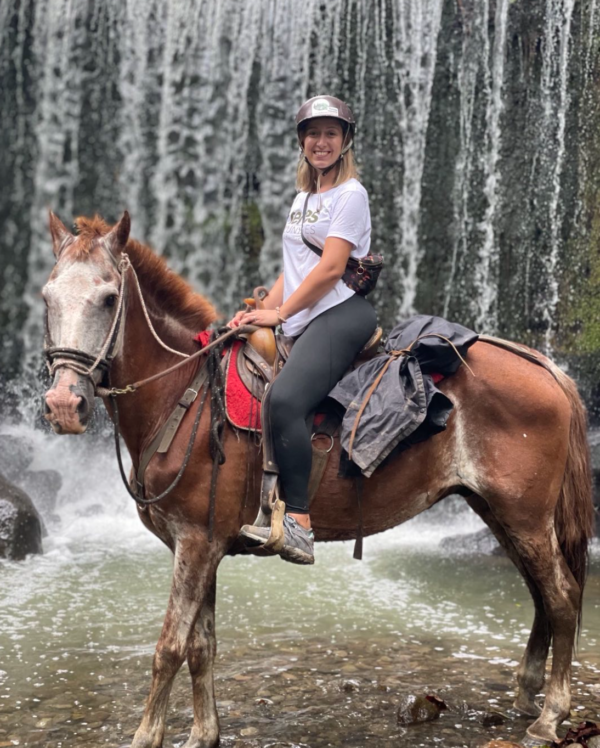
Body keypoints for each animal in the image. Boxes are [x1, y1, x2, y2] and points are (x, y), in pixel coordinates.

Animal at [42, 212, 596, 748]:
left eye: (109, 298)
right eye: (46, 298)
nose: (65, 405)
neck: (186, 394)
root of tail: (546, 367)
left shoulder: (196, 543)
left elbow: (170, 647)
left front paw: (146, 736)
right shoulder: (201, 544)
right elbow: (202, 646)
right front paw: (204, 734)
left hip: (524, 515)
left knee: (563, 597)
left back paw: (550, 716)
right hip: (499, 511)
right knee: (540, 595)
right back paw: (526, 692)